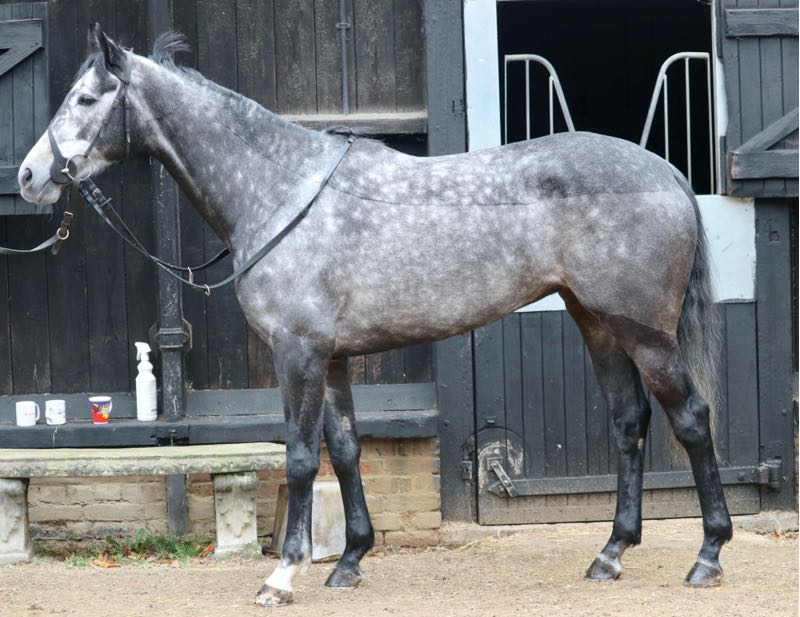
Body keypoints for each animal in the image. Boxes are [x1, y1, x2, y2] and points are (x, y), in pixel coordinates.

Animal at [19, 24, 732, 606]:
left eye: (86, 100)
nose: (28, 176)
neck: (279, 191)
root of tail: (666, 172)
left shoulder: (298, 352)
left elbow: (301, 457)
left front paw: (283, 575)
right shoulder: (332, 359)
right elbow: (344, 450)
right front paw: (350, 562)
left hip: (646, 334)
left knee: (692, 420)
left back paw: (707, 556)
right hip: (598, 323)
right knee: (629, 422)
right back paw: (610, 554)